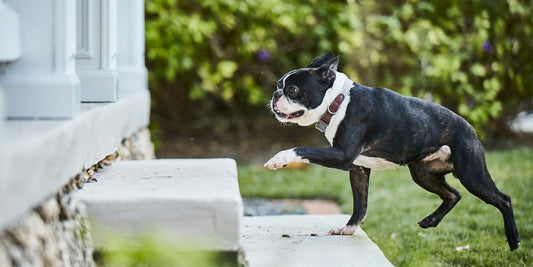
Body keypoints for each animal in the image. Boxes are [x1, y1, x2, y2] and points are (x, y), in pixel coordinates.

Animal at [264, 52, 516, 251]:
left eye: (293, 90)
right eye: (278, 85)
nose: (276, 94)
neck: (338, 101)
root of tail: (471, 129)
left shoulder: (342, 155)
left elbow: (302, 149)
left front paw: (279, 159)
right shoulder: (358, 168)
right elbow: (360, 204)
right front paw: (349, 229)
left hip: (472, 175)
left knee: (503, 199)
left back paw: (514, 239)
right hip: (422, 174)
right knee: (454, 194)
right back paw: (431, 221)